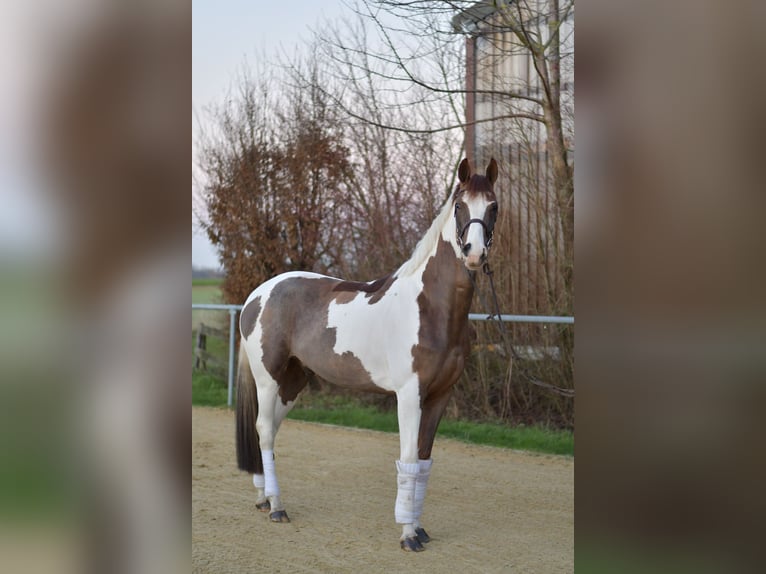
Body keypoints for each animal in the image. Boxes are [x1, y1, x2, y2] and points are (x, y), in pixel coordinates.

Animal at [236, 157, 499, 551]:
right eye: (459, 206)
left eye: (493, 206)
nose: (473, 253)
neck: (430, 308)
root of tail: (257, 295)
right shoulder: (409, 395)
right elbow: (407, 458)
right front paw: (408, 535)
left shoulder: (439, 395)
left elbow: (423, 461)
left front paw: (419, 528)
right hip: (268, 378)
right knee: (265, 431)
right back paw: (277, 507)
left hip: (294, 381)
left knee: (268, 430)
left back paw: (262, 497)